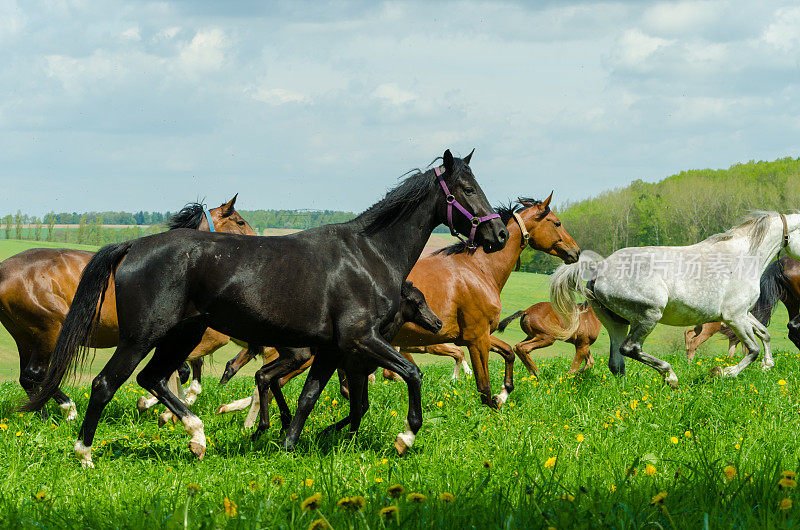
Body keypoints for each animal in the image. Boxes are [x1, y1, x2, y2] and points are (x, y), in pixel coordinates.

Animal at [0, 195, 253, 416]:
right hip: (48, 331)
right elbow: (179, 373)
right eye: (240, 222)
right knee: (37, 374)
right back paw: (66, 409)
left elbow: (180, 372)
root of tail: (4, 270)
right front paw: (163, 405)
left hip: (25, 336)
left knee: (27, 377)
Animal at [28, 147, 510, 462]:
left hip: (182, 334)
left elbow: (309, 397)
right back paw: (85, 452)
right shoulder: (360, 340)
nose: (499, 234)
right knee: (106, 384)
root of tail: (134, 245)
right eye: (466, 188)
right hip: (142, 336)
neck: (369, 254)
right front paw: (405, 437)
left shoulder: (331, 348)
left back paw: (198, 436)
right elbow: (410, 373)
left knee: (154, 379)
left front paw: (287, 444)